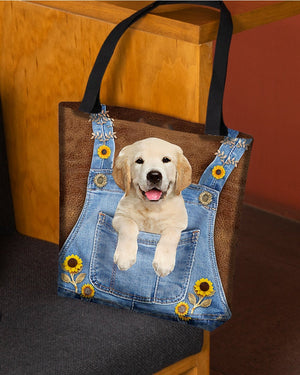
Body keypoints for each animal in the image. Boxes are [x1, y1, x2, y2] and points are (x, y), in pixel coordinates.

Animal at [111, 139, 191, 280]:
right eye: (139, 161)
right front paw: (124, 257)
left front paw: (163, 263)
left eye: (166, 159)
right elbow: (129, 225)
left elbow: (170, 234)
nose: (154, 175)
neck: (152, 208)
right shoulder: (119, 217)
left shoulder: (178, 224)